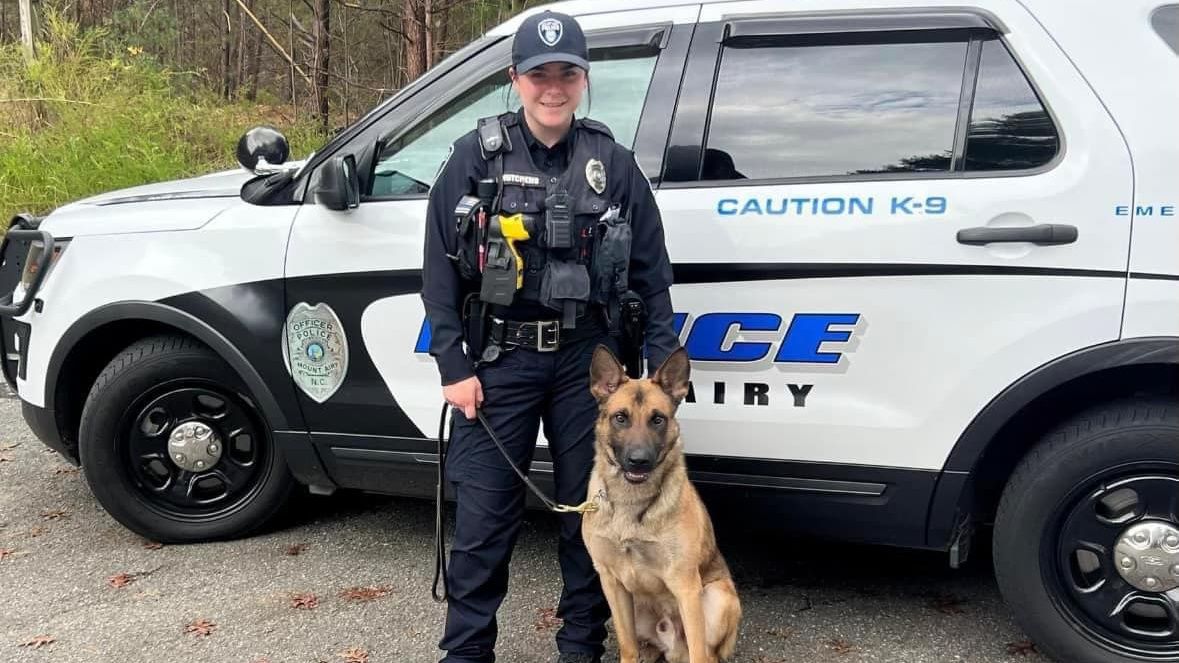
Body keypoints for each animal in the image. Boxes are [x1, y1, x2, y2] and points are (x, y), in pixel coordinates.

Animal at [582, 346, 740, 660]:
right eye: (621, 417)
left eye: (658, 419)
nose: (639, 461)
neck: (631, 502)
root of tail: (673, 646)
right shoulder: (611, 583)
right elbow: (628, 648)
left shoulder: (685, 586)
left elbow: (699, 654)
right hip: (634, 610)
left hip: (717, 598)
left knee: (705, 654)